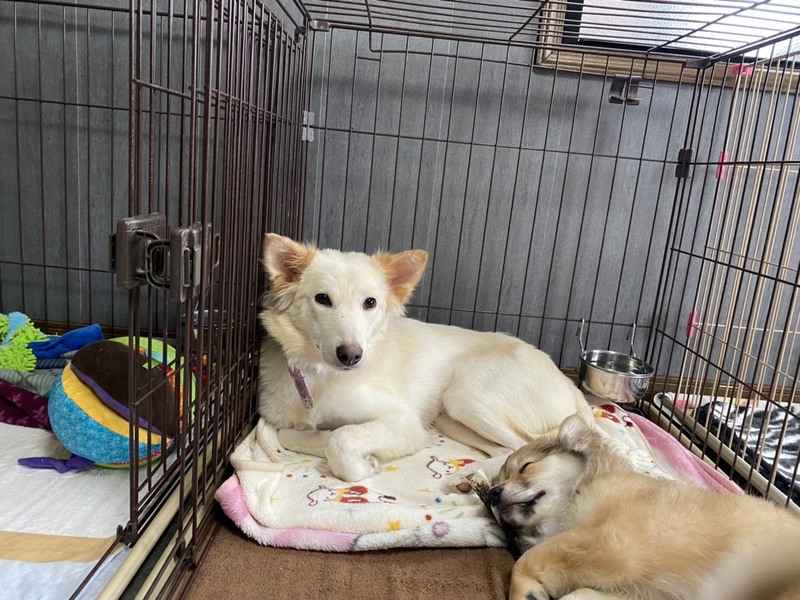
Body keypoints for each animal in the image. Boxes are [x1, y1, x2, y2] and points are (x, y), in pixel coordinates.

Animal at [257, 233, 592, 483]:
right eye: (322, 298)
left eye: (370, 303)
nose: (351, 355)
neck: (319, 375)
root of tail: (568, 383)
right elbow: (292, 434)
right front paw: (323, 438)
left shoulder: (405, 423)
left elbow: (341, 439)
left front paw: (363, 463)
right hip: (450, 417)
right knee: (507, 448)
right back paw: (471, 475)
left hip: (465, 396)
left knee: (524, 444)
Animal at [490, 413, 800, 600]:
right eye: (499, 480)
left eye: (526, 466)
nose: (492, 493)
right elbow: (581, 593)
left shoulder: (609, 541)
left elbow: (527, 560)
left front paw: (523, 592)